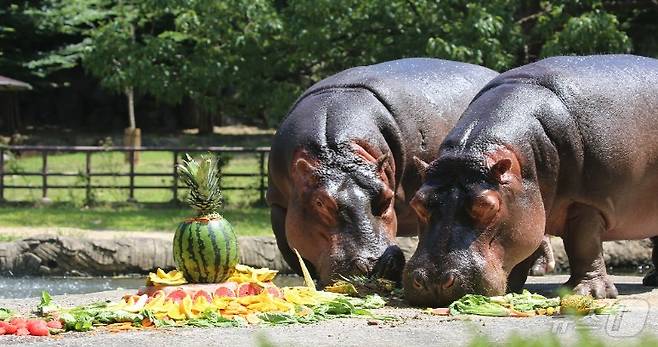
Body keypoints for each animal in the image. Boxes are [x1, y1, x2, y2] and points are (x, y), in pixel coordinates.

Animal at [266, 57, 498, 286]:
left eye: (387, 198)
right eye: (320, 202)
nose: (373, 264)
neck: (334, 151)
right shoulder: (278, 207)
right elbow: (297, 260)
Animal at [404, 55, 656, 308]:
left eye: (487, 205)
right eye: (417, 203)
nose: (433, 281)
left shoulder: (586, 204)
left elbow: (585, 245)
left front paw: (590, 293)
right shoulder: (528, 208)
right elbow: (522, 248)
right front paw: (512, 289)